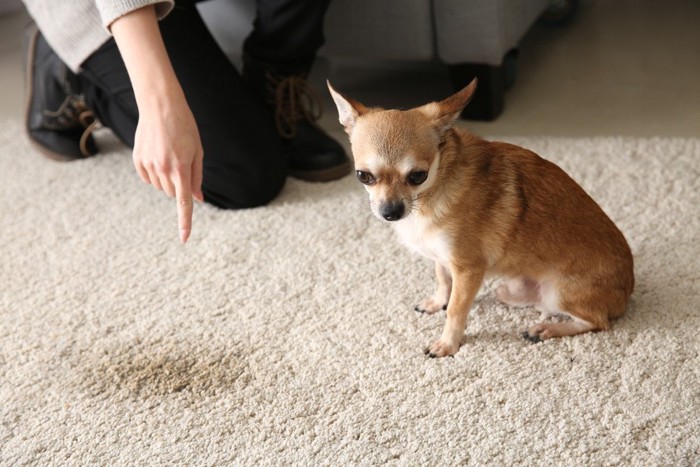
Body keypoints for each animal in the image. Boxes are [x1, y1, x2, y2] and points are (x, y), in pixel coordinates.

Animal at [328, 79, 636, 358]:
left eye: (418, 176)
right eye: (363, 176)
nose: (390, 212)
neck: (431, 194)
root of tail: (627, 291)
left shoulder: (468, 269)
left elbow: (456, 310)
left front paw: (448, 344)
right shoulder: (443, 258)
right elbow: (443, 279)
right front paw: (437, 302)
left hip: (559, 292)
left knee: (598, 322)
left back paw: (547, 329)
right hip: (512, 289)